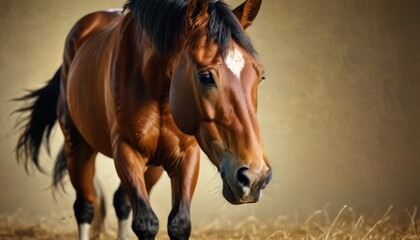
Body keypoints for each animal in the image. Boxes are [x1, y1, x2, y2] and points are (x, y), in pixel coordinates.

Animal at [13, 0, 272, 238]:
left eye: (260, 76)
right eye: (205, 76)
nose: (255, 176)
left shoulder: (187, 156)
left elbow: (179, 223)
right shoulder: (126, 151)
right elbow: (146, 223)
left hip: (153, 165)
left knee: (121, 203)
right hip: (77, 145)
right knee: (85, 207)